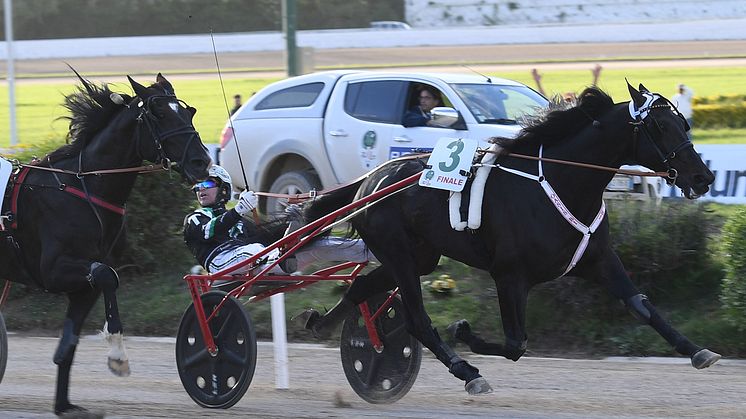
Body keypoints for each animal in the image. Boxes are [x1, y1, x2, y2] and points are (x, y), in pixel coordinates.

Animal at [0, 73, 209, 416]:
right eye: (159, 115)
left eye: (188, 112)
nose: (201, 161)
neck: (81, 187)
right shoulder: (53, 271)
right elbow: (107, 275)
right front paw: (118, 356)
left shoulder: (83, 286)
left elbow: (68, 345)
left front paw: (65, 405)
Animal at [300, 84, 716, 394]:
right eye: (659, 127)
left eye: (682, 122)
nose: (703, 177)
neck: (564, 183)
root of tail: (369, 180)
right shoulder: (509, 275)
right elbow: (517, 344)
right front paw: (465, 332)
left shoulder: (598, 259)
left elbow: (642, 306)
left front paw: (697, 351)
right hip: (399, 252)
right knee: (417, 320)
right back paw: (466, 371)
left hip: (419, 256)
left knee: (361, 287)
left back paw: (322, 325)